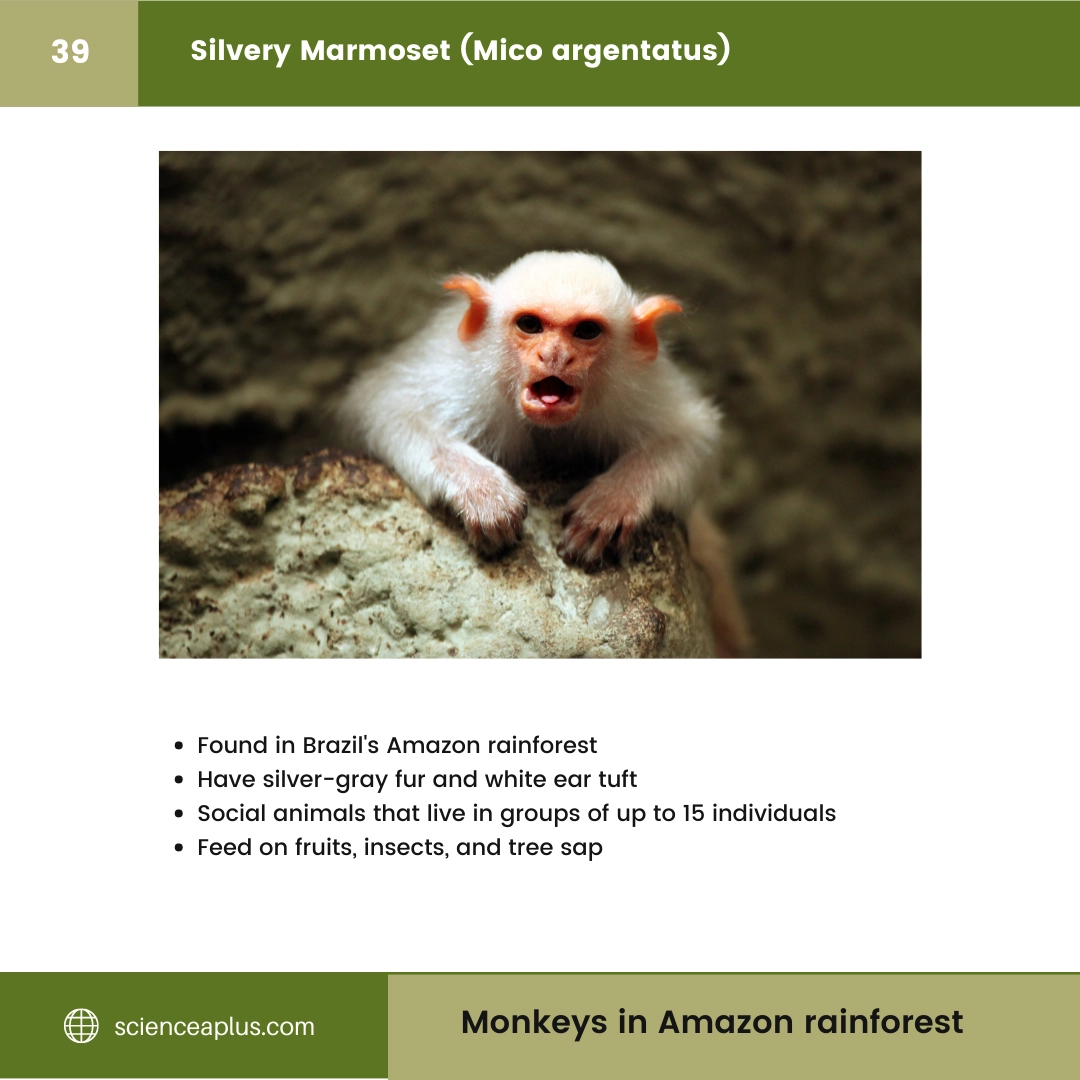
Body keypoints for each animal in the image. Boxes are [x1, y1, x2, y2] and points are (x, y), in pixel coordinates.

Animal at [338, 251, 750, 656]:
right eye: (530, 325)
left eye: (586, 331)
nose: (554, 355)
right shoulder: (458, 378)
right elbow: (387, 407)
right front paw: (484, 492)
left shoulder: (637, 388)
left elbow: (693, 436)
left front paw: (611, 503)